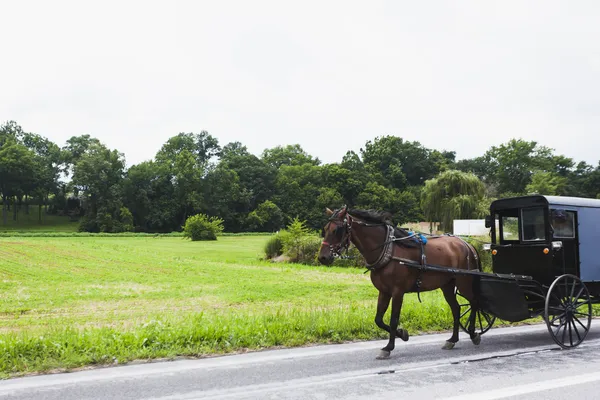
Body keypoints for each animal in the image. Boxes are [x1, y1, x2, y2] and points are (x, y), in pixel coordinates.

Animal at [318, 206, 482, 360]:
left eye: (337, 230)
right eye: (325, 229)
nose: (322, 257)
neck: (389, 250)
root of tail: (467, 244)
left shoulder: (398, 292)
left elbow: (393, 320)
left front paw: (388, 347)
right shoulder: (384, 292)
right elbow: (378, 320)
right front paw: (402, 334)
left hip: (464, 283)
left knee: (474, 302)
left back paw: (473, 333)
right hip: (447, 285)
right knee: (456, 309)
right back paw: (452, 339)